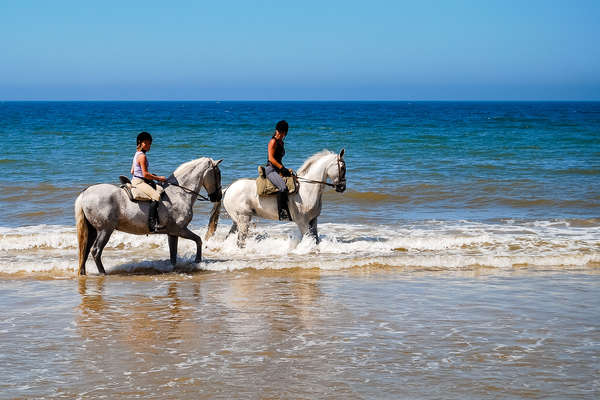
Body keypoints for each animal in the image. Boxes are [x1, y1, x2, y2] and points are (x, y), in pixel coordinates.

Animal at [74, 156, 223, 276]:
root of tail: (85, 193)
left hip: (93, 230)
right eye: (218, 173)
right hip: (105, 230)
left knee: (85, 250)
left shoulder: (172, 233)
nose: (218, 197)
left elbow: (173, 255)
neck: (179, 193)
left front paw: (174, 268)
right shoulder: (179, 230)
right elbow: (198, 240)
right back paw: (103, 273)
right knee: (96, 251)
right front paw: (197, 260)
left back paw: (84, 273)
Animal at [206, 149, 346, 245]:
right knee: (240, 241)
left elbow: (315, 240)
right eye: (343, 167)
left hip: (237, 221)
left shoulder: (313, 221)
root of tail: (228, 189)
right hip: (243, 219)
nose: (342, 187)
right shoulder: (302, 222)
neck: (308, 188)